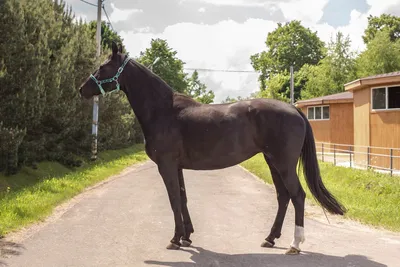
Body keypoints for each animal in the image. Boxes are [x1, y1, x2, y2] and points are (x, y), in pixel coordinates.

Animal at [79, 41, 346, 255]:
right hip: (272, 162)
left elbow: (174, 199)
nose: (82, 89)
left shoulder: (166, 165)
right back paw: (270, 238)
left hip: (284, 164)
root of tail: (293, 109)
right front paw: (187, 236)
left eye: (103, 67)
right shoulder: (177, 167)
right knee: (283, 197)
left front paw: (175, 239)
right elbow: (183, 198)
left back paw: (295, 244)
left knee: (297, 196)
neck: (164, 111)